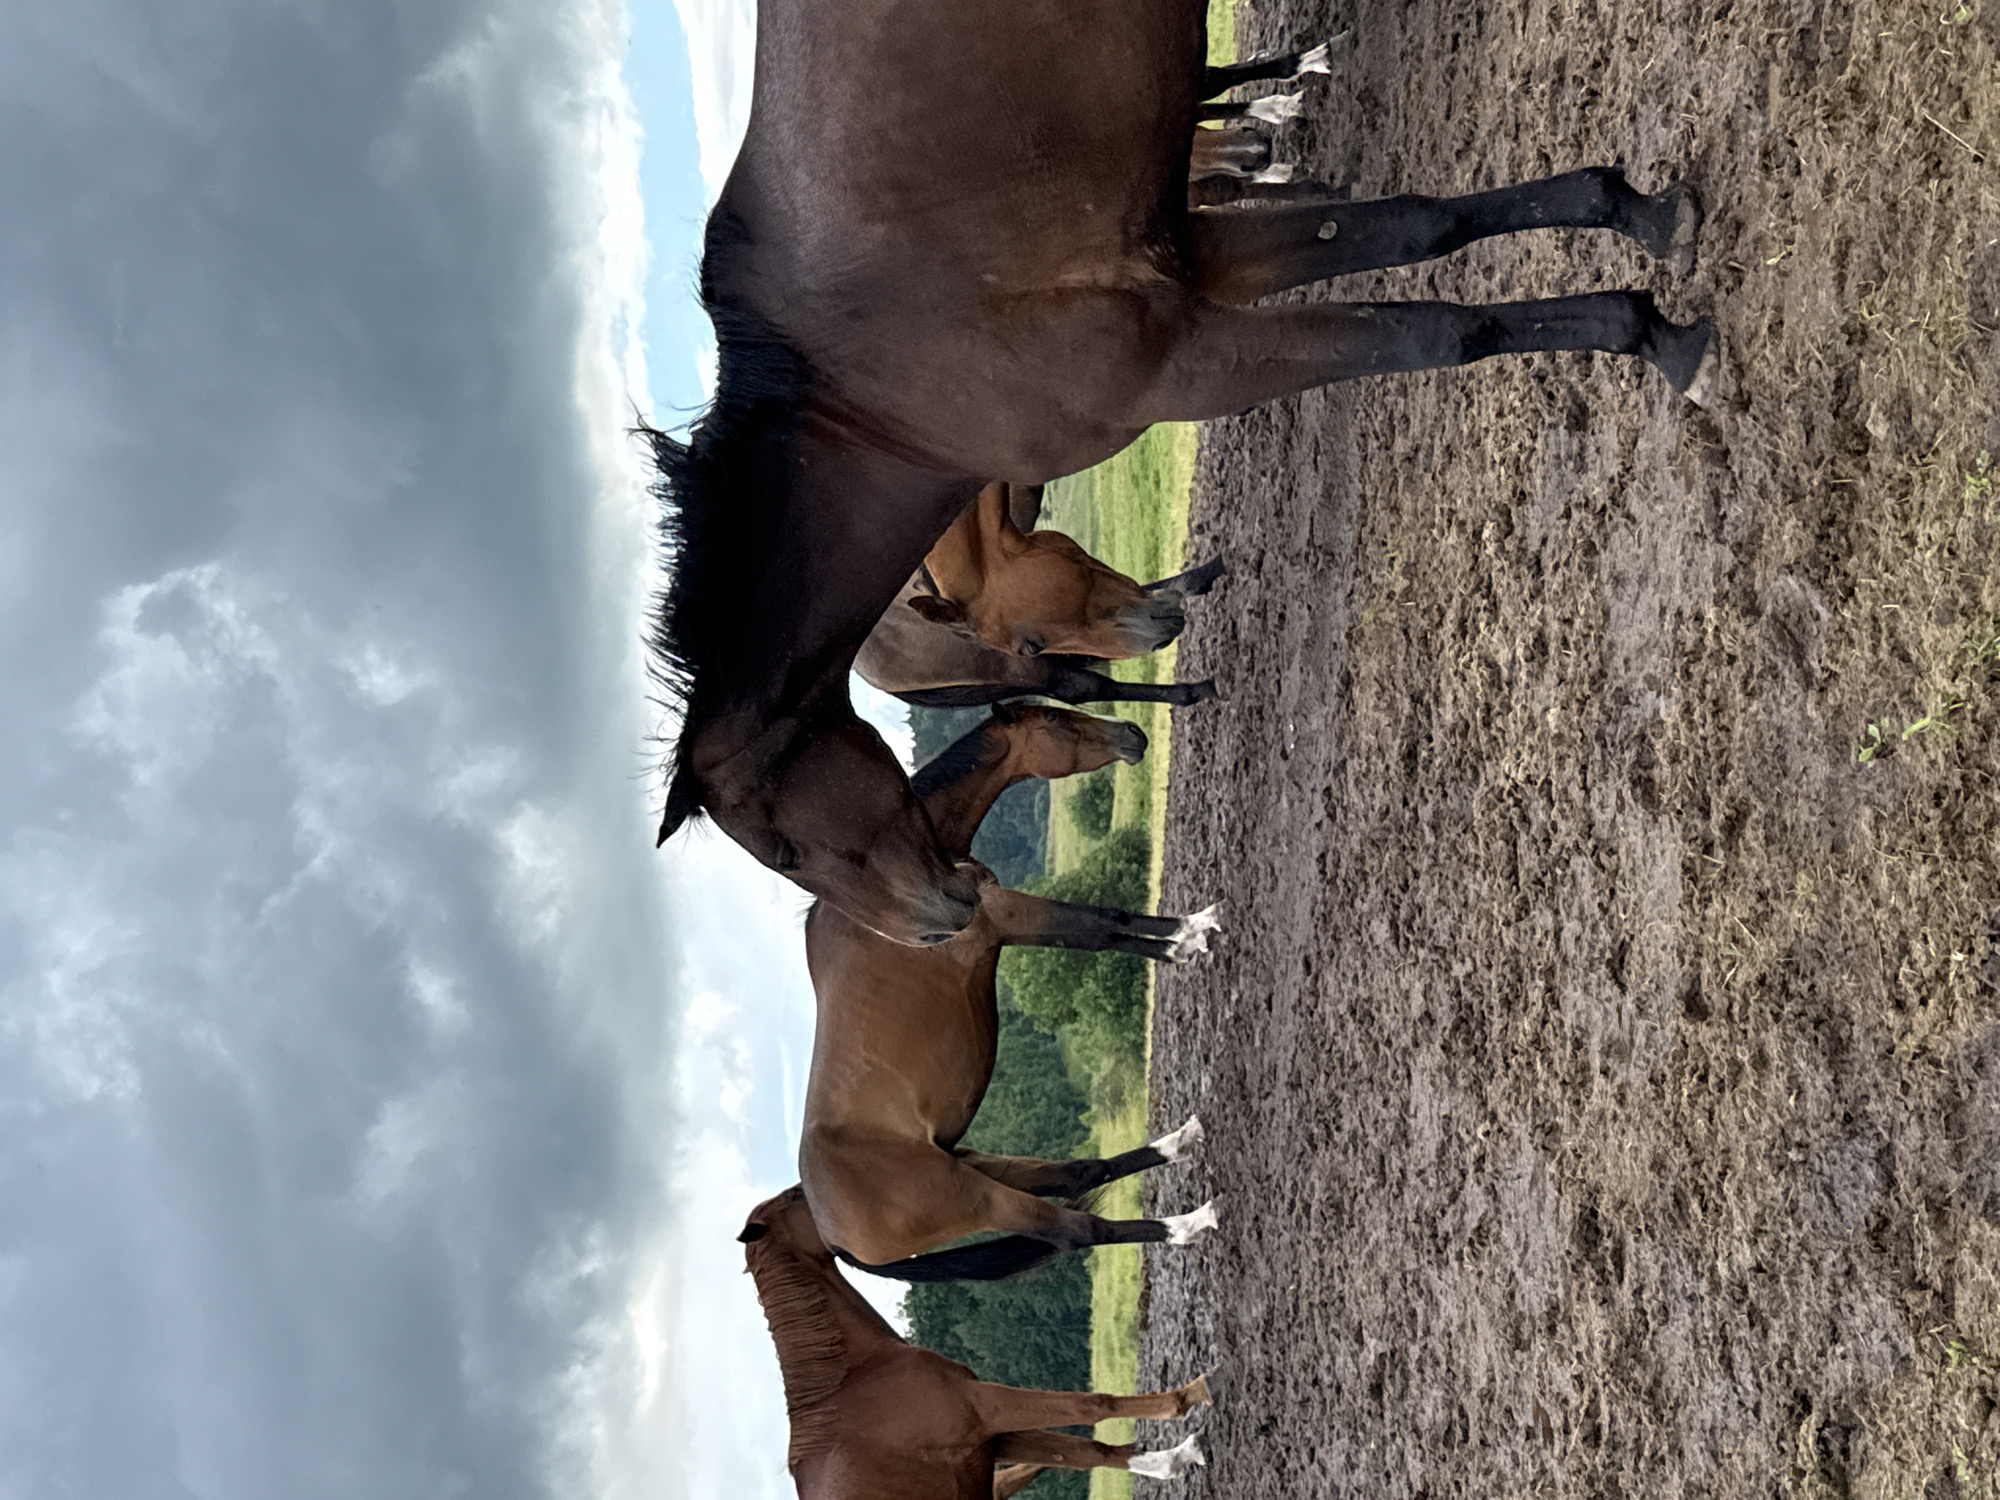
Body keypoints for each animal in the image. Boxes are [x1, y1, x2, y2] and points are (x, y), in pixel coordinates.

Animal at [643, 0, 1712, 944]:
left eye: (782, 848)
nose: (935, 925)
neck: (876, 396)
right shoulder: (1203, 274)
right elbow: (1425, 234)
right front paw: (1640, 237)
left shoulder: (1186, 356)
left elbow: (1436, 323)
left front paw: (1657, 323)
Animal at [739, 1184, 1212, 1500]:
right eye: (795, 1199)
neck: (859, 1374)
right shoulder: (985, 1406)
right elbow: (1092, 1406)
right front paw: (1190, 1395)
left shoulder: (993, 1435)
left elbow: (1087, 1451)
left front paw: (1173, 1458)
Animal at [801, 703, 1219, 1280]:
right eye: (1056, 723)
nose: (1132, 734)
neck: (899, 873)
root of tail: (835, 1238)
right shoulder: (1008, 915)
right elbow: (1105, 923)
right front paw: (1192, 932)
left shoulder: (1008, 924)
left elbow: (1103, 934)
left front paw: (1182, 943)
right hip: (979, 1197)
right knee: (1080, 1231)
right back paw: (1188, 1223)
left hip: (983, 1165)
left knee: (1079, 1173)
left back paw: (1181, 1140)